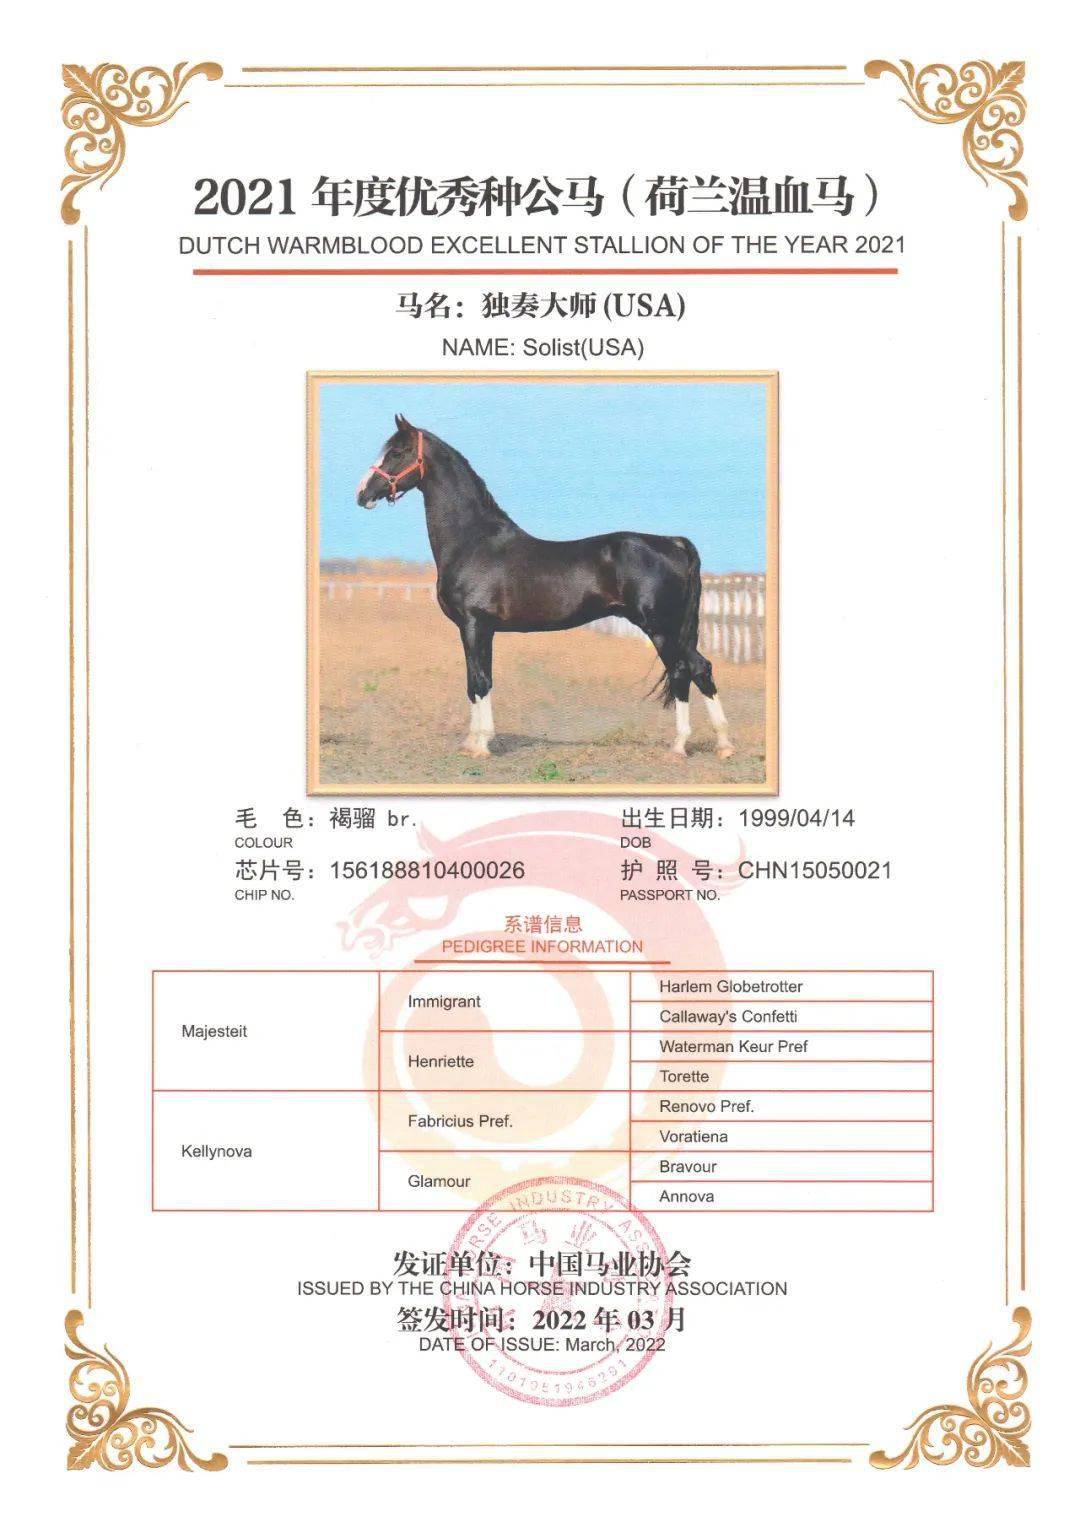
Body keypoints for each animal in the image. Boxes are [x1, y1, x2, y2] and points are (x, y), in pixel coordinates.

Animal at [355, 414, 734, 762]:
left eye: (398, 452)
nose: (362, 494)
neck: (473, 541)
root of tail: (673, 543)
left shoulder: (475, 625)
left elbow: (480, 681)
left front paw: (480, 745)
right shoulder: (477, 629)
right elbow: (475, 681)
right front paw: (472, 741)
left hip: (661, 628)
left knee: (686, 670)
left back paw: (682, 746)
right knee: (698, 669)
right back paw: (722, 745)